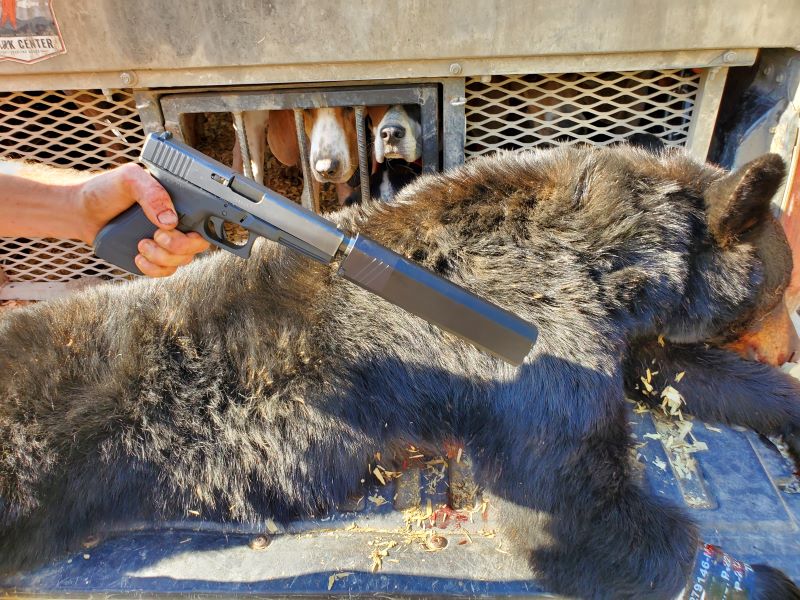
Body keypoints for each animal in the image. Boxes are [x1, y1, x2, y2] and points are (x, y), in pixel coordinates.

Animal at [1, 144, 800, 599]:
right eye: (782, 290)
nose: (790, 344)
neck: (609, 256)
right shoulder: (539, 342)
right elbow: (566, 508)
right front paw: (758, 579)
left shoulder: (608, 330)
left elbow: (676, 370)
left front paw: (782, 406)